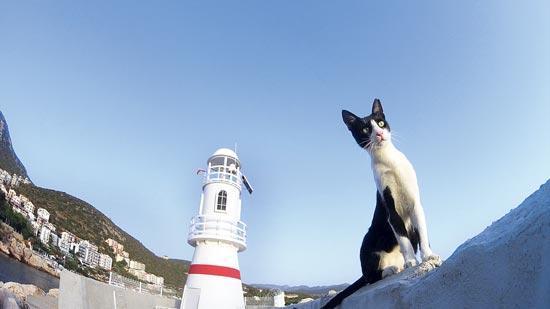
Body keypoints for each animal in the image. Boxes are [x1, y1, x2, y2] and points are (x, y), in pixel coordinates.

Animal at [324, 98, 444, 308]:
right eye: (365, 129)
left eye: (380, 123)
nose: (379, 134)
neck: (390, 162)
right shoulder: (389, 205)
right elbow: (402, 237)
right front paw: (411, 262)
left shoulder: (415, 203)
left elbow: (422, 231)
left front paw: (428, 255)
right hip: (367, 242)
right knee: (370, 277)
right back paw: (390, 270)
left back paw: (397, 266)